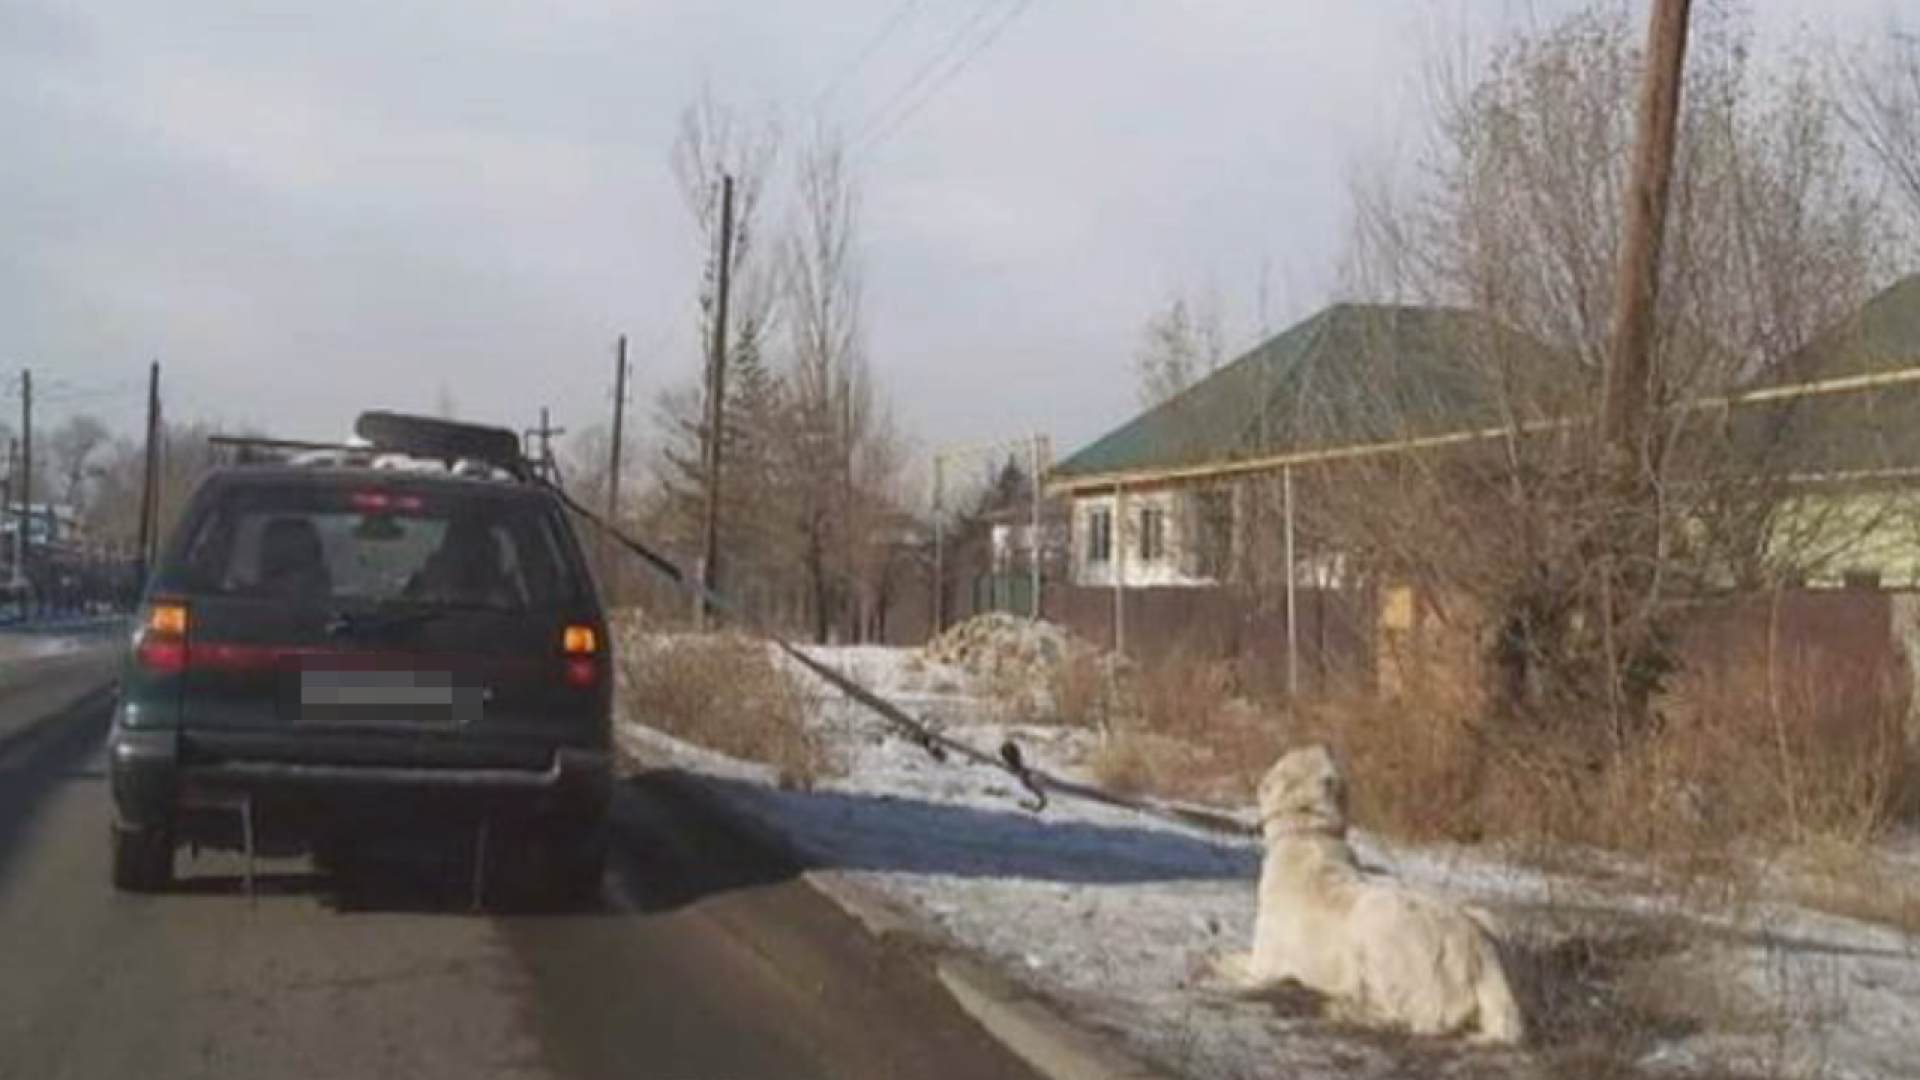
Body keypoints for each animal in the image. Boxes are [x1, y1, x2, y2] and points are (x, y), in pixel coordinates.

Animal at [1213, 745, 1528, 1037]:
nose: (1326, 744)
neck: (1308, 832)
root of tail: (1481, 955)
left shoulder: (1263, 966)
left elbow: (1232, 962)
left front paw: (1217, 963)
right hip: (1487, 918)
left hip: (1379, 922)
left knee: (1416, 1019)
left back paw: (1348, 1010)